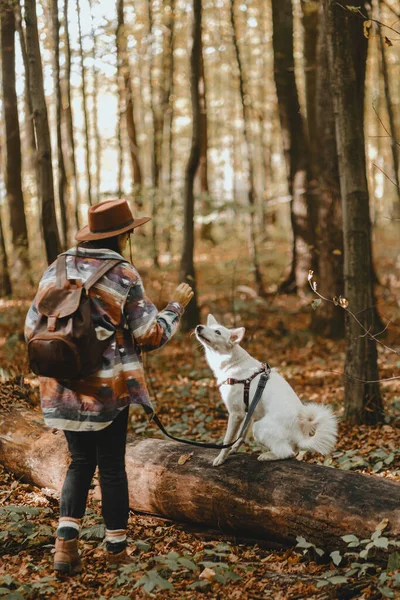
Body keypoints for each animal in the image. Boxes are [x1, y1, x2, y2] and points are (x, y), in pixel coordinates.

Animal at [195, 316, 338, 466]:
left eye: (217, 332)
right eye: (209, 327)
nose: (199, 327)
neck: (232, 362)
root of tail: (301, 436)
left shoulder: (236, 414)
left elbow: (227, 439)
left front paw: (221, 458)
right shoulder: (248, 412)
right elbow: (241, 435)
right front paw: (233, 449)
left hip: (258, 427)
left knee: (287, 452)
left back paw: (267, 455)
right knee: (293, 451)